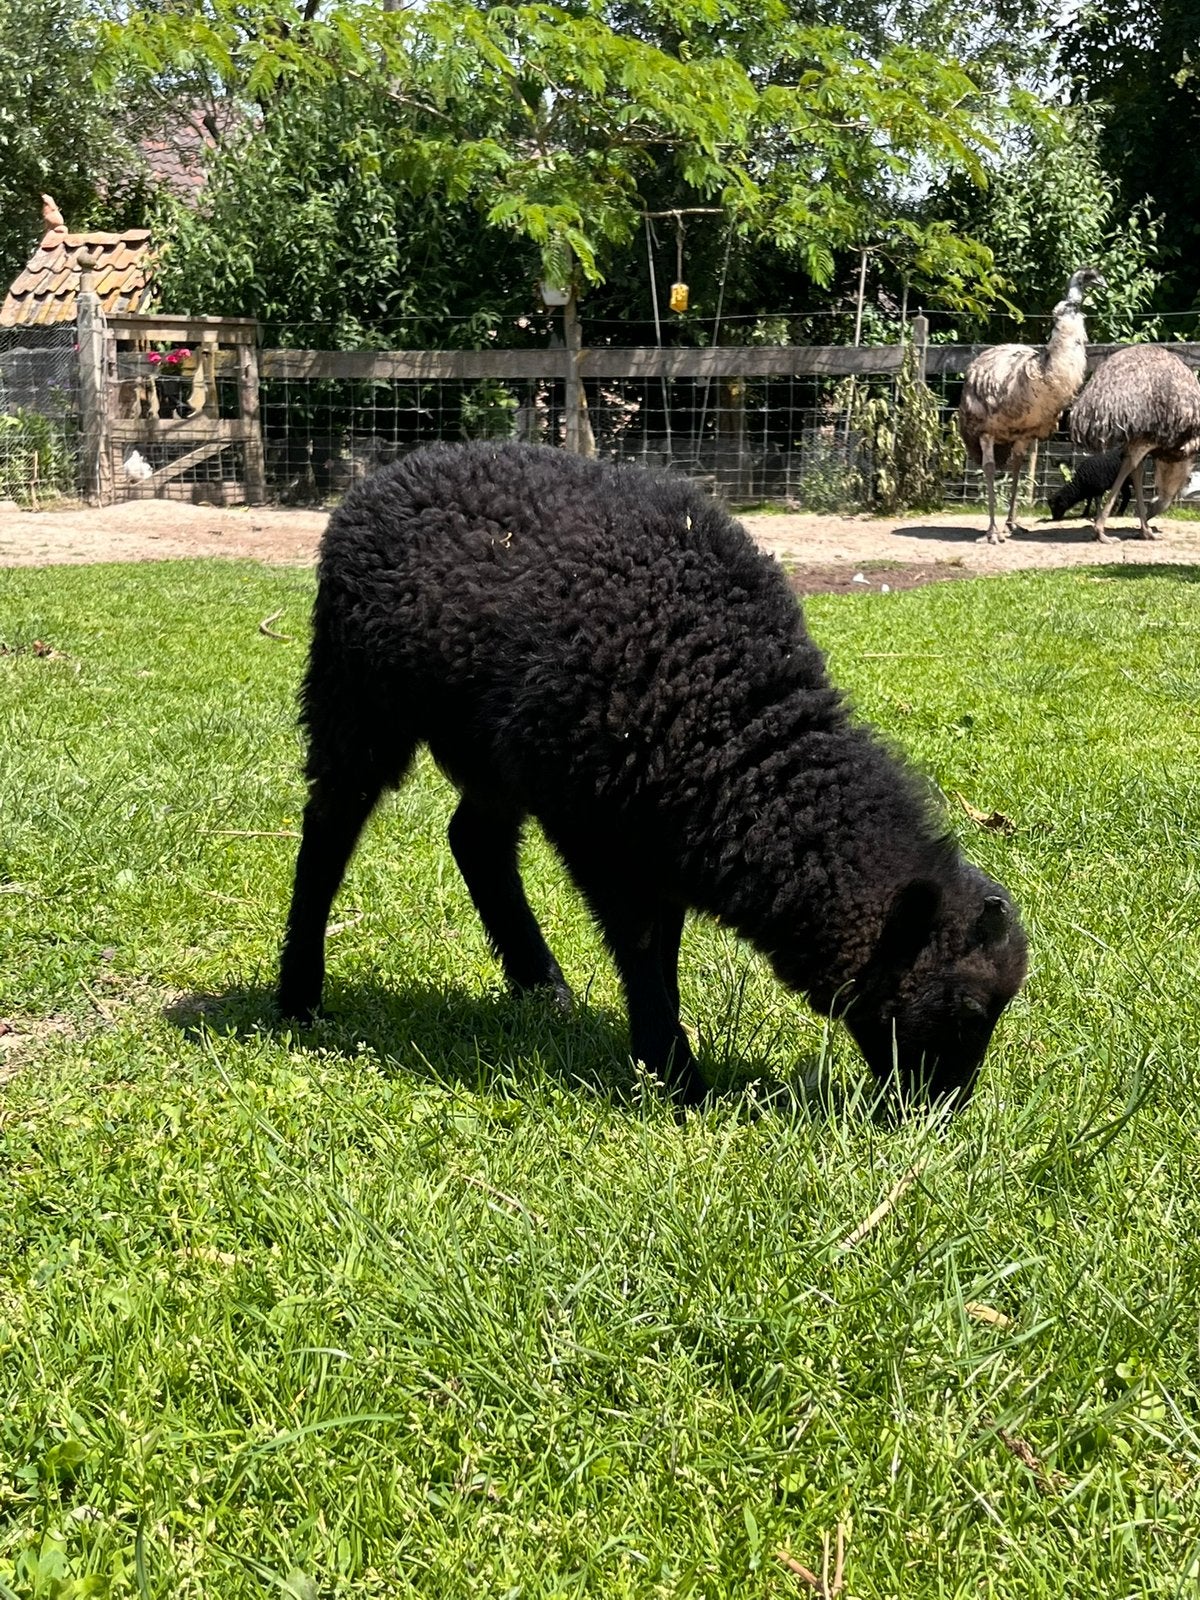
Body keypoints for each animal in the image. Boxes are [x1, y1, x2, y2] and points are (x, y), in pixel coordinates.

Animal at [278, 443, 1028, 1110]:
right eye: (970, 1008)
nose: (942, 1111)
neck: (733, 734)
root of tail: (390, 472)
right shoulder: (602, 831)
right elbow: (644, 943)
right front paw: (676, 1076)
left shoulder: (652, 822)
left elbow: (657, 940)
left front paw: (662, 1063)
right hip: (357, 696)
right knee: (330, 825)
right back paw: (297, 995)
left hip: (496, 749)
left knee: (475, 839)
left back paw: (543, 987)